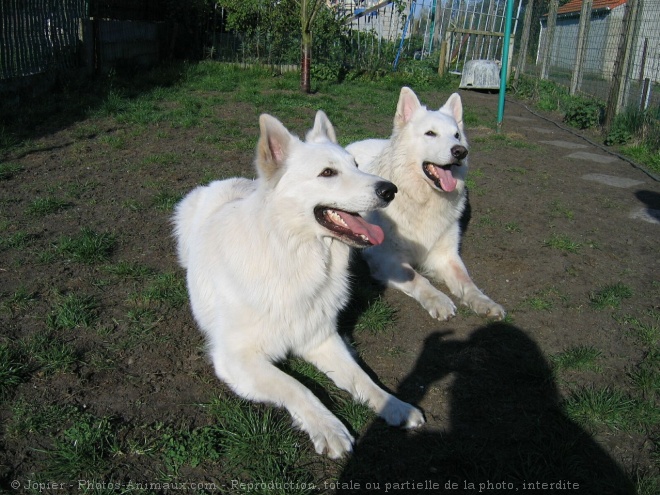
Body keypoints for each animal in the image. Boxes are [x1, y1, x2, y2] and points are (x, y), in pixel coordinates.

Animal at [173, 110, 426, 460]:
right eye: (328, 173)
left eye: (356, 165)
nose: (390, 190)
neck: (296, 259)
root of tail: (226, 181)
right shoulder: (237, 359)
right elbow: (299, 387)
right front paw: (329, 427)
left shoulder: (320, 338)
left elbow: (363, 378)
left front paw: (396, 406)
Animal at [346, 86, 506, 322]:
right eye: (431, 133)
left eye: (456, 135)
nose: (460, 151)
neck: (421, 200)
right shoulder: (384, 256)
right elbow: (417, 277)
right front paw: (439, 300)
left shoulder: (446, 255)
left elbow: (466, 281)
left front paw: (483, 301)